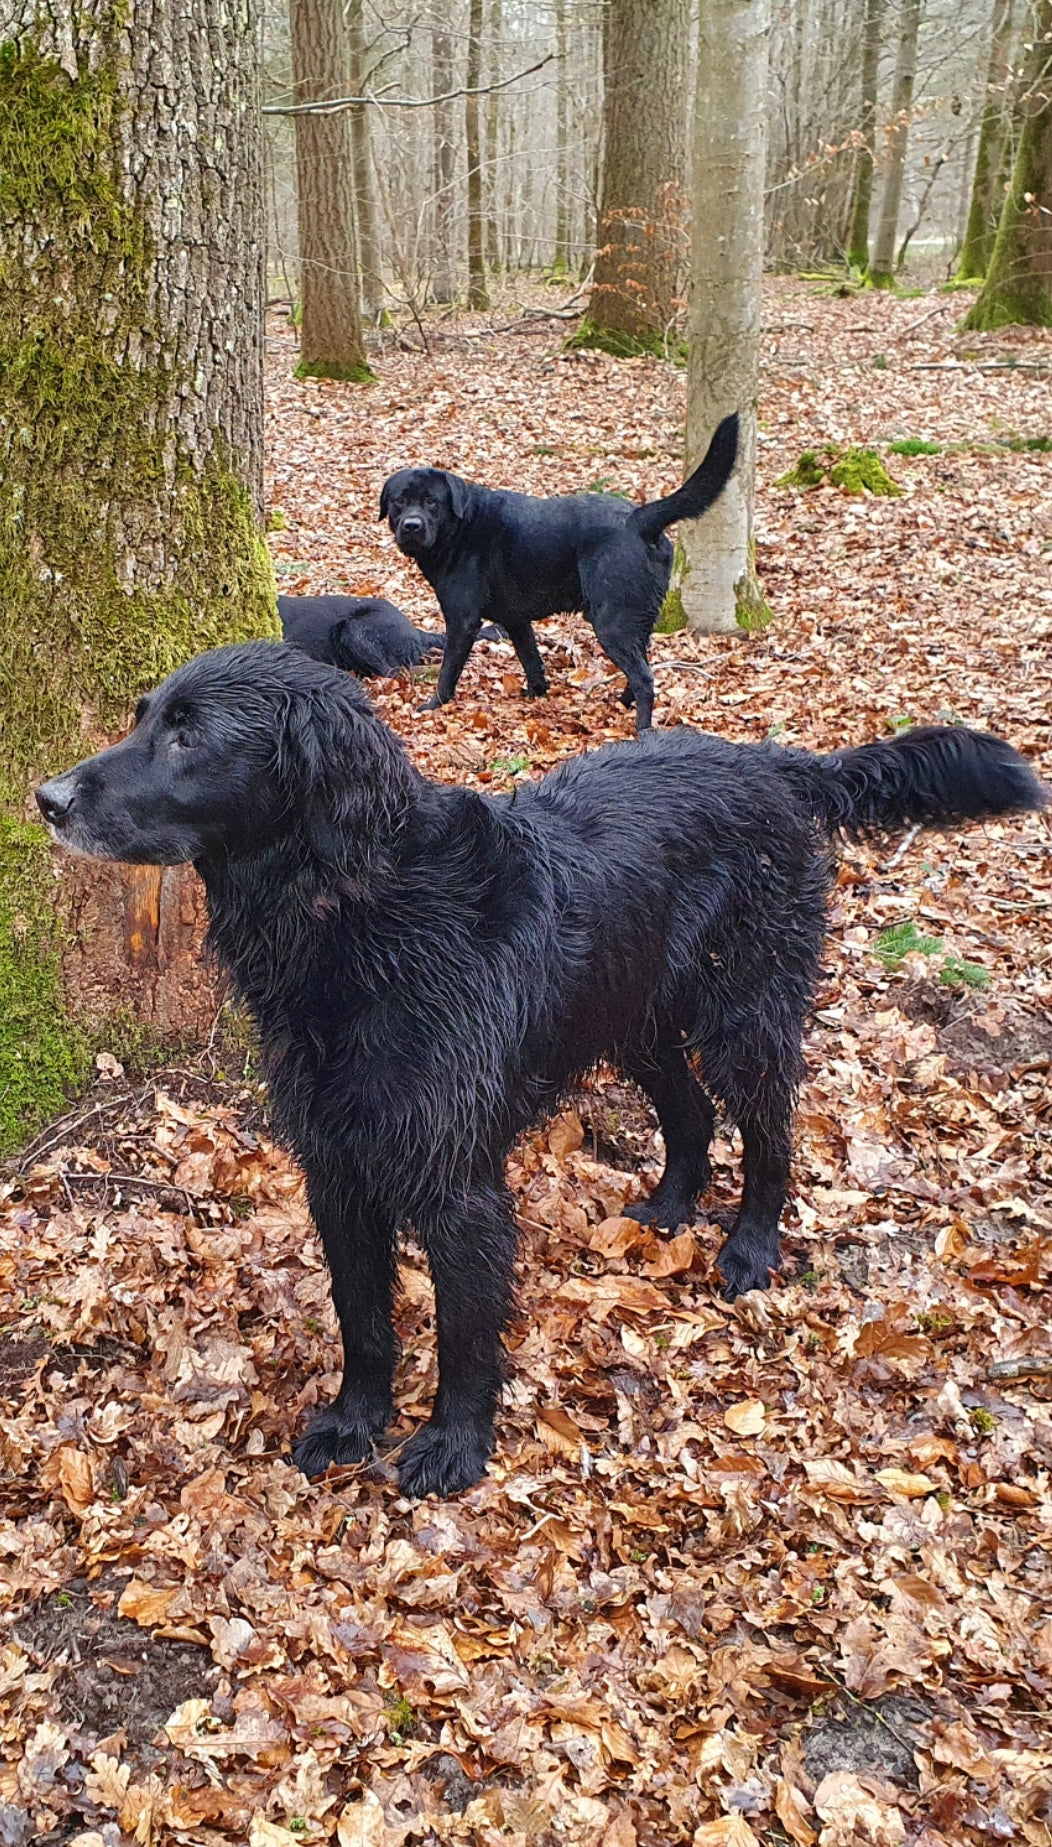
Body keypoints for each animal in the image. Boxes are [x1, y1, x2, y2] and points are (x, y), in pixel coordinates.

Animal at [34, 642, 1040, 1492]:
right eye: (143, 715)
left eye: (190, 734)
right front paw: (355, 1422)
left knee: (769, 1130)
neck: (357, 914)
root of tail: (773, 763)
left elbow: (465, 1333)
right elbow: (364, 1321)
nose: (47, 796)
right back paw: (667, 1208)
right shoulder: (338, 1167)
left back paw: (750, 1244)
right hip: (638, 1017)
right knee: (689, 1114)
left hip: (743, 1015)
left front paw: (452, 1443)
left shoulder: (459, 1185)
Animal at [378, 415, 738, 731]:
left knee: (645, 678)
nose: (412, 526)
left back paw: (641, 728)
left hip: (610, 621)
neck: (460, 528)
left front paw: (433, 705)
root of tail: (638, 519)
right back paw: (624, 703)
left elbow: (448, 670)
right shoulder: (516, 620)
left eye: (431, 501)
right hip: (635, 617)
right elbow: (531, 659)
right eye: (399, 501)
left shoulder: (462, 621)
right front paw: (535, 693)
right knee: (642, 663)